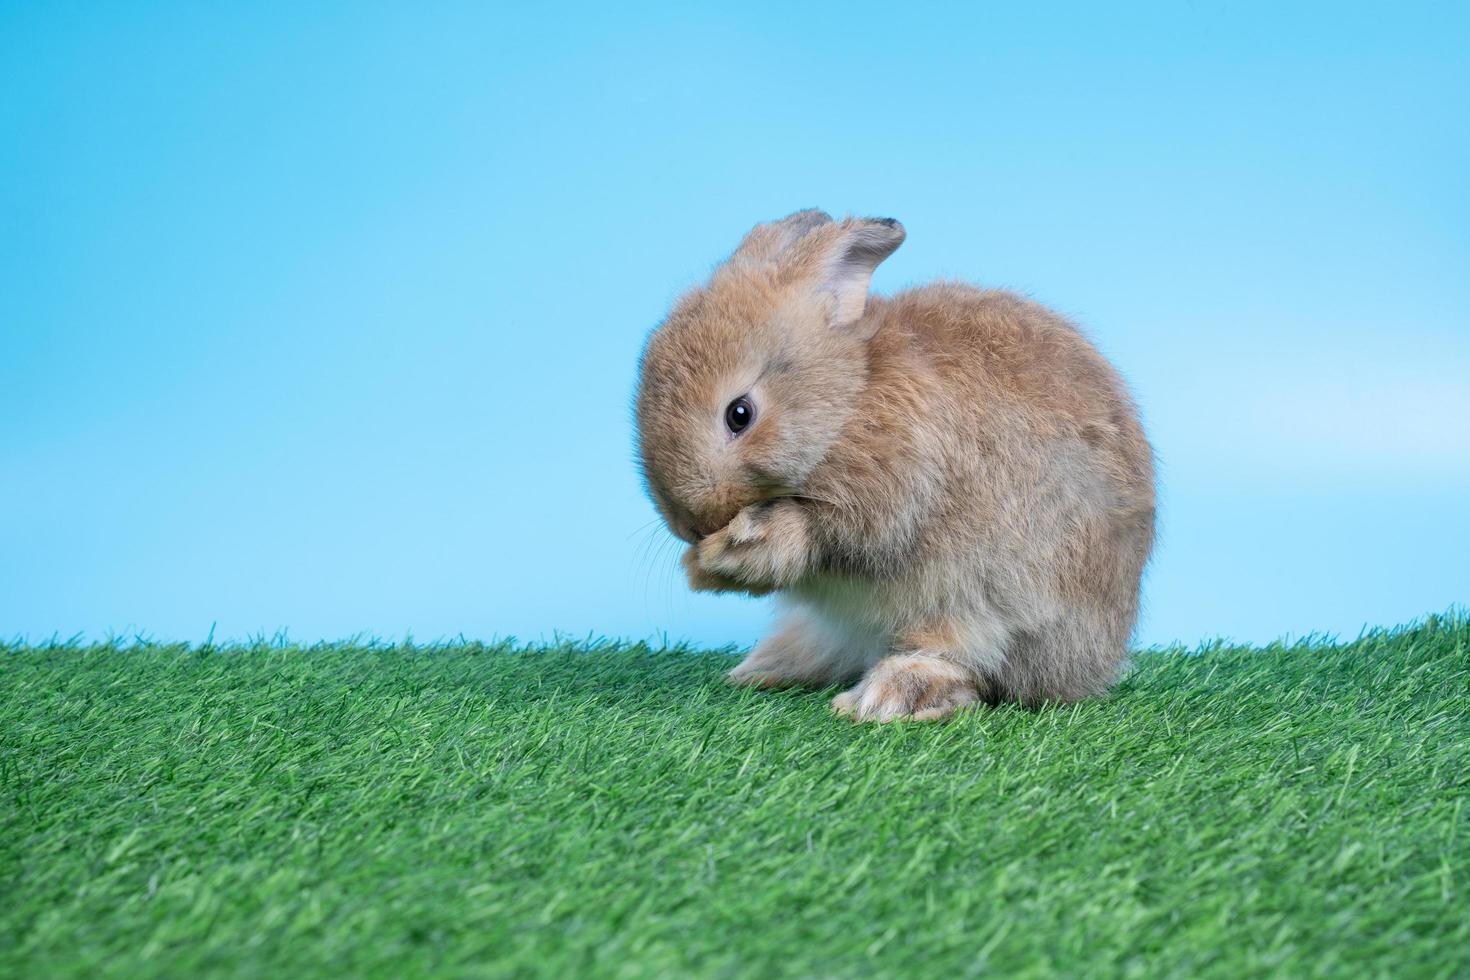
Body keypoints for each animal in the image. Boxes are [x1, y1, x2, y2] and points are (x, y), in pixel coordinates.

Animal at [637, 211, 1152, 725]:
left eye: (739, 414)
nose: (690, 526)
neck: (846, 404)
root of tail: (1099, 662)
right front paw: (698, 569)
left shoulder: (891, 496)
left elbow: (818, 537)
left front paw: (736, 549)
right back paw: (765, 668)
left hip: (992, 612)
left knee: (972, 669)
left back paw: (888, 697)